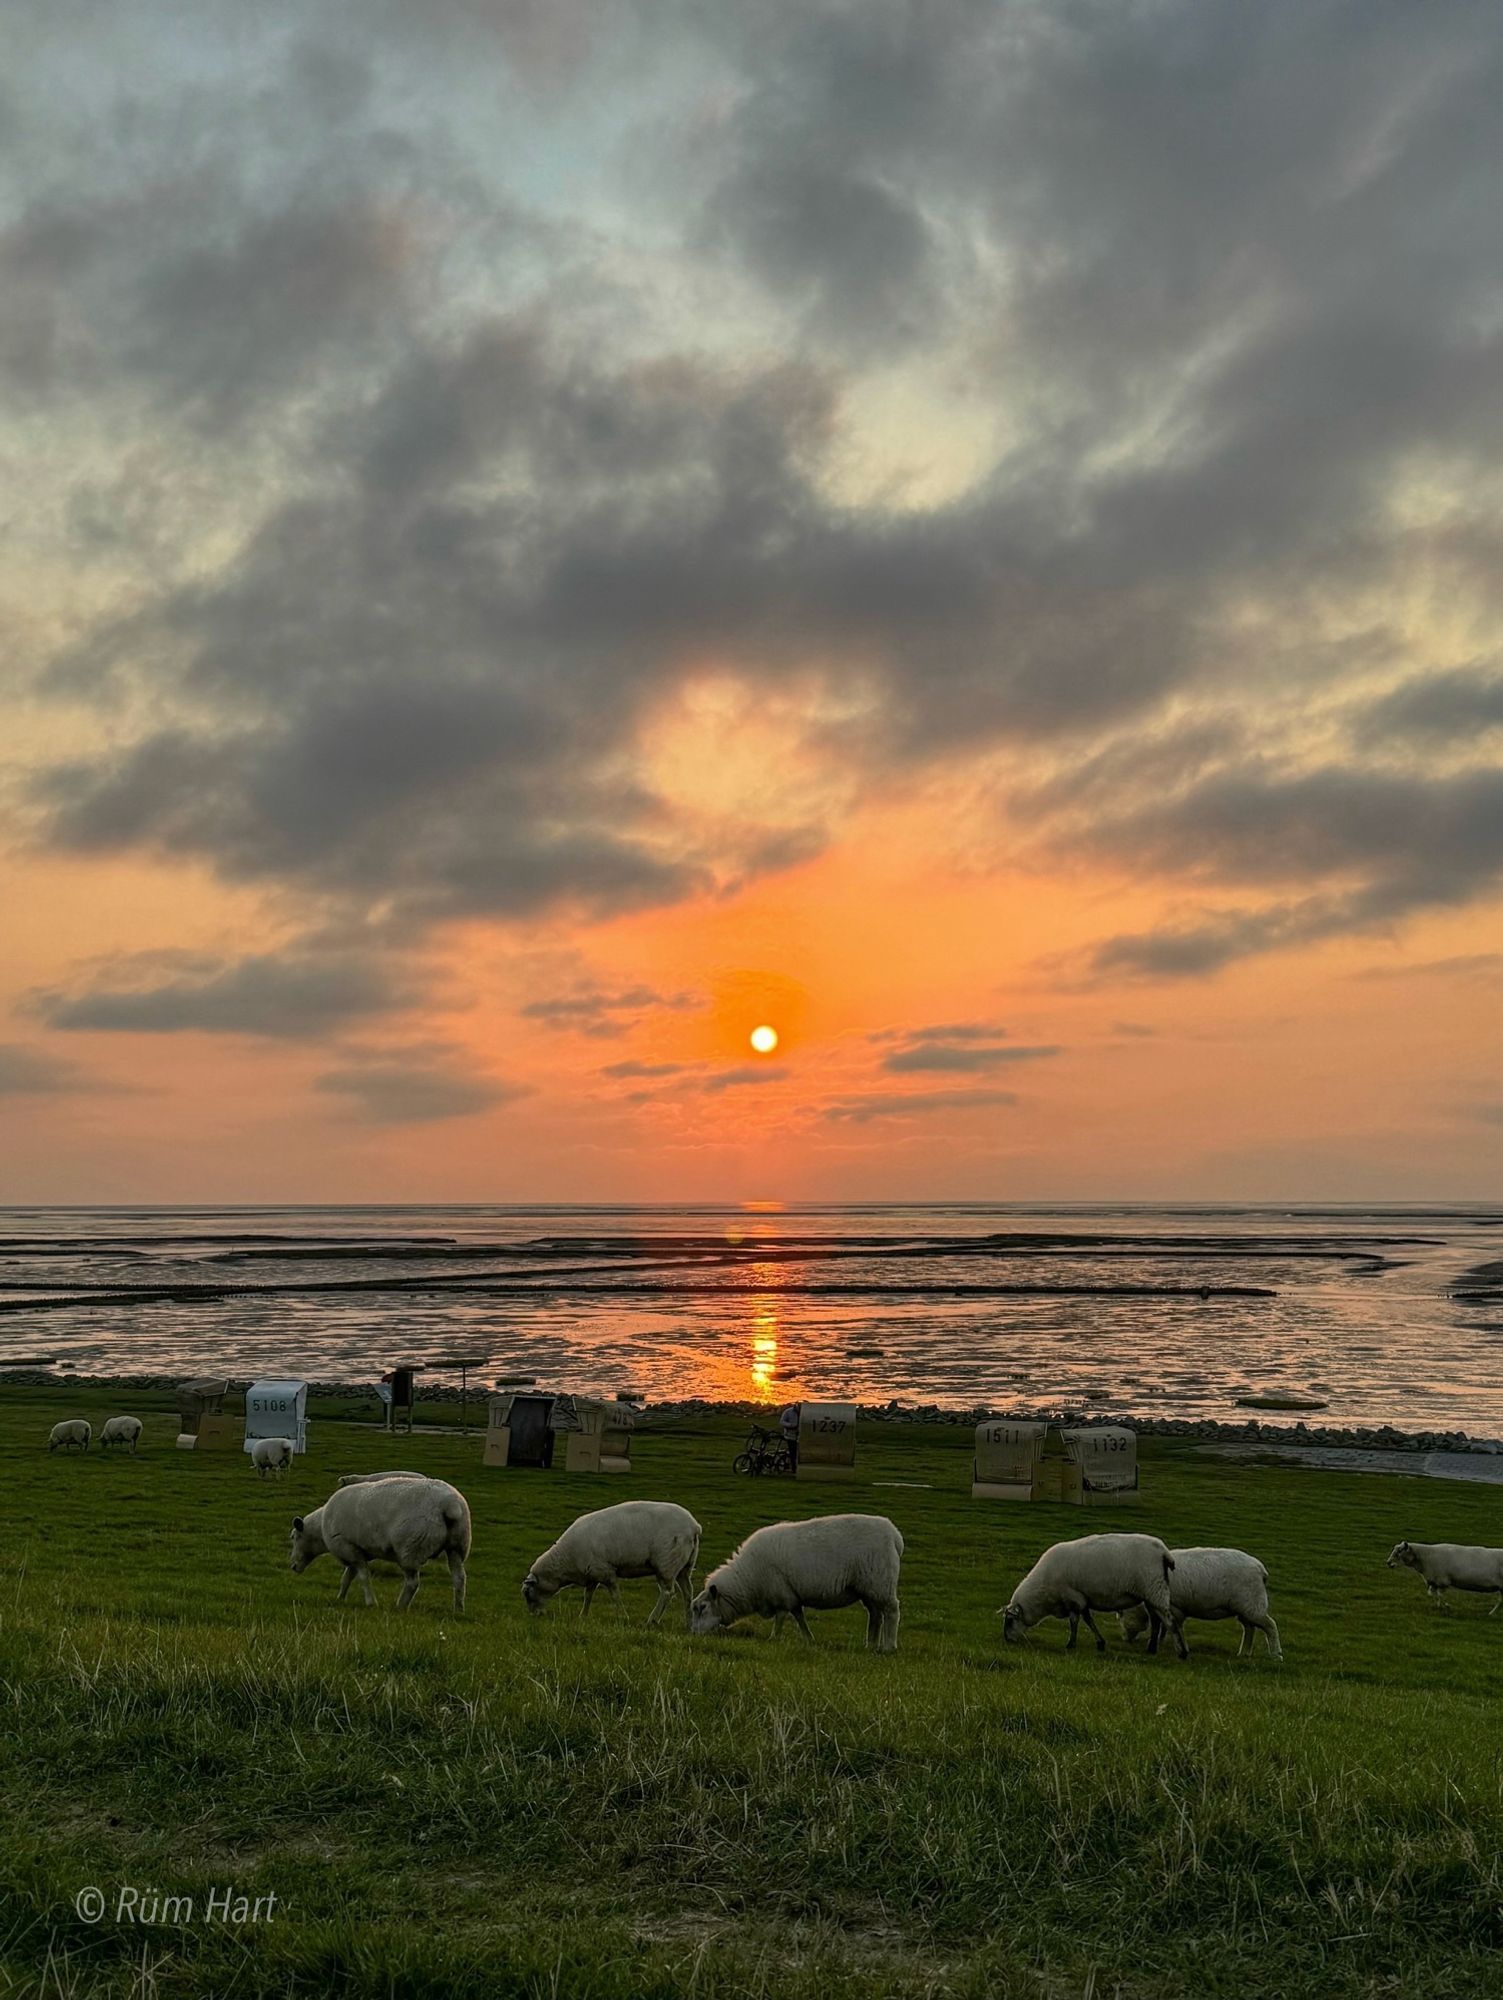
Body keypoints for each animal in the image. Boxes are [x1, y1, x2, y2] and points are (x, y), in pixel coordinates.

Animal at [289, 1480, 471, 1616]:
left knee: (413, 1582)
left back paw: (400, 1606)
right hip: (458, 1546)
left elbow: (363, 1577)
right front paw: (340, 1598)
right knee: (459, 1578)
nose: (292, 1566)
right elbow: (346, 1578)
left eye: (294, 1537)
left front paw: (371, 1602)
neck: (321, 1528)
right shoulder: (355, 1550)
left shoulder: (349, 1548)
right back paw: (458, 1610)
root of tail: (451, 1505)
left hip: (410, 1548)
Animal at [523, 1504, 703, 1624]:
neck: (565, 1560)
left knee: (667, 1593)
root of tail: (694, 1526)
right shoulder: (592, 1572)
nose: (534, 1616)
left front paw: (623, 1616)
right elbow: (588, 1595)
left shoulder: (605, 1571)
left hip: (666, 1563)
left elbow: (615, 1595)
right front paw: (583, 1616)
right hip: (684, 1567)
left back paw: (652, 1620)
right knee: (688, 1592)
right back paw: (689, 1622)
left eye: (527, 1593)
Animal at [687, 1512, 899, 1656]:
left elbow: (781, 1617)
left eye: (702, 1607)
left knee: (891, 1612)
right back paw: (871, 1644)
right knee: (875, 1615)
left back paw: (888, 1647)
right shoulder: (791, 1594)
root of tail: (894, 1534)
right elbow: (799, 1617)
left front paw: (773, 1638)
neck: (748, 1579)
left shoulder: (780, 1593)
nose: (693, 1634)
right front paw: (809, 1639)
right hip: (869, 1588)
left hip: (881, 1583)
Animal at [1003, 1528, 1183, 1656]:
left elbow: (1075, 1621)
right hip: (1151, 1593)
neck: (1043, 1593)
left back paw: (1182, 1652)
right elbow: (1088, 1620)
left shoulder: (1073, 1598)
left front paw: (1071, 1644)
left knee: (1169, 1620)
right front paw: (1100, 1643)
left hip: (1154, 1589)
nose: (1007, 1640)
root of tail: (1164, 1552)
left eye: (1010, 1621)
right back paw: (1152, 1648)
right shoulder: (1082, 1598)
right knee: (1157, 1620)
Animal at [1119, 1544, 1279, 1656]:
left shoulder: (1174, 1607)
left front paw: (1182, 1647)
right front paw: (1162, 1641)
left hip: (1253, 1605)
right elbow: (1165, 1626)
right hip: (1245, 1607)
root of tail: (1261, 1569)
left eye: (1122, 1616)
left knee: (1270, 1625)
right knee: (1249, 1628)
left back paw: (1275, 1655)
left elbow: (1175, 1626)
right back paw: (1244, 1653)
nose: (1125, 1639)